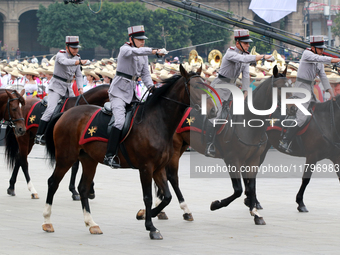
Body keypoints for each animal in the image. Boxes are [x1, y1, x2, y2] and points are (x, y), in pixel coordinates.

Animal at [41, 65, 214, 239]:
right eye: (197, 87)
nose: (213, 110)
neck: (156, 122)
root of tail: (65, 114)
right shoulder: (146, 168)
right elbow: (148, 197)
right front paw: (150, 226)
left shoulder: (158, 168)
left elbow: (167, 197)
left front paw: (146, 214)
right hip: (66, 157)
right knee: (52, 182)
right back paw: (47, 221)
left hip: (89, 160)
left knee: (83, 188)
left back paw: (91, 223)